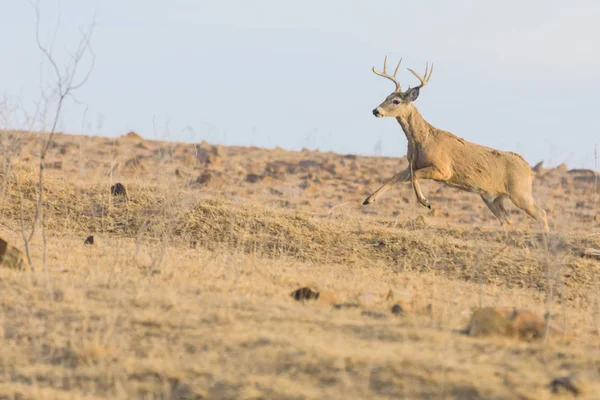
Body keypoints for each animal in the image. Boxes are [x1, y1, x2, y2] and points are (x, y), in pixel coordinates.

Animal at [360, 55, 548, 231]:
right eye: (387, 96)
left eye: (396, 101)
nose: (376, 110)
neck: (422, 140)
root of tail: (527, 166)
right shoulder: (412, 164)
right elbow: (397, 176)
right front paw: (368, 199)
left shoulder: (443, 170)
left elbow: (414, 176)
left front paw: (426, 202)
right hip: (492, 197)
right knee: (507, 219)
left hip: (520, 192)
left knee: (541, 213)